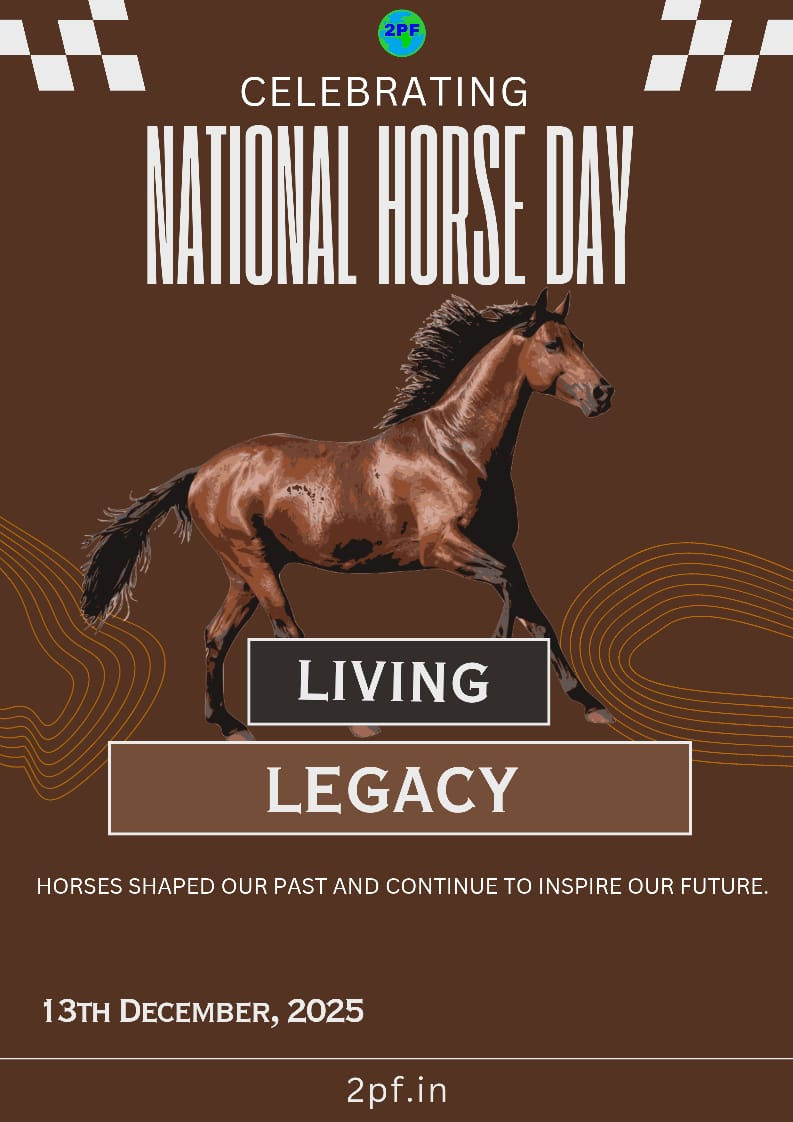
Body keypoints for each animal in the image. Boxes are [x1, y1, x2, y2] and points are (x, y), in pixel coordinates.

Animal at [81, 288, 615, 740]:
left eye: (580, 341)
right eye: (552, 344)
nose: (602, 392)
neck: (457, 450)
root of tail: (202, 472)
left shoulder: (503, 546)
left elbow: (537, 617)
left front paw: (592, 704)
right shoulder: (442, 548)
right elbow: (506, 588)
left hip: (244, 574)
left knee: (215, 635)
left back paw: (229, 725)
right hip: (254, 564)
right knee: (285, 629)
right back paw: (358, 724)